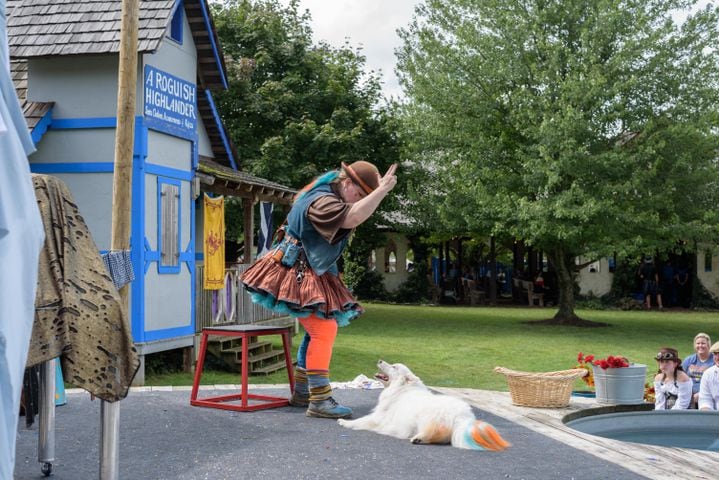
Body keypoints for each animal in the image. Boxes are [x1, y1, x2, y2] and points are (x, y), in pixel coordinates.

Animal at [338, 360, 512, 450]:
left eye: (394, 367)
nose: (380, 360)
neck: (401, 388)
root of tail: (462, 417)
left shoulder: (378, 417)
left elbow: (361, 420)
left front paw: (344, 422)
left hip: (426, 418)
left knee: (434, 434)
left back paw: (418, 438)